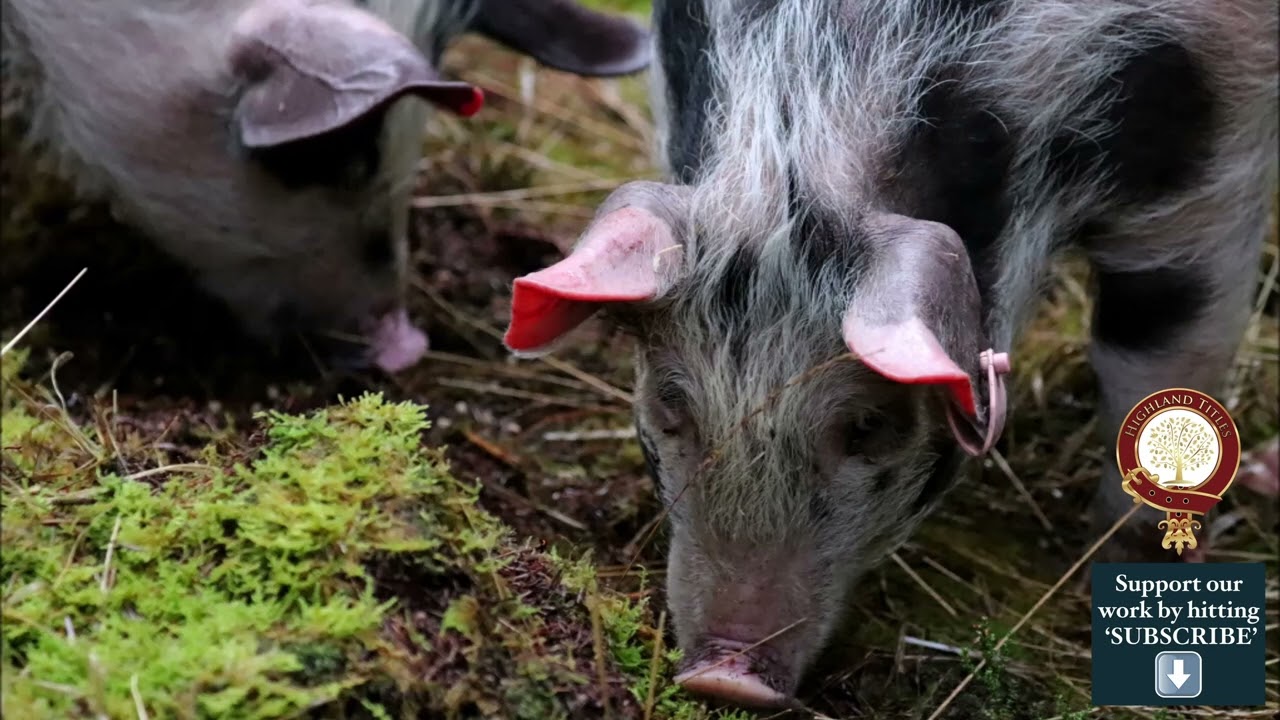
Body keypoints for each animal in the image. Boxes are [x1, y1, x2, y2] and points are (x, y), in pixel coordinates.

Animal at [502, 0, 1279, 708]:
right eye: (671, 403)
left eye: (867, 425)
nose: (724, 676)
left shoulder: (1212, 156)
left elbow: (1165, 349)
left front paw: (1132, 555)